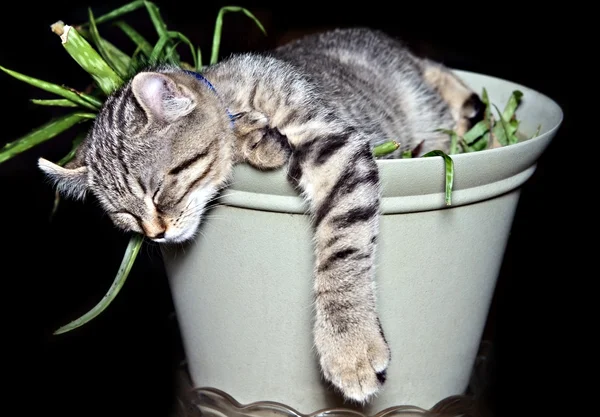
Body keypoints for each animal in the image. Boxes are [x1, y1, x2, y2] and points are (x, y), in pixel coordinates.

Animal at [37, 28, 486, 404]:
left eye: (159, 192)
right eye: (124, 217)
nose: (155, 234)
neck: (232, 97)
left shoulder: (334, 145)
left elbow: (341, 249)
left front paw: (349, 345)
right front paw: (256, 139)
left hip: (421, 105)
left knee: (441, 83)